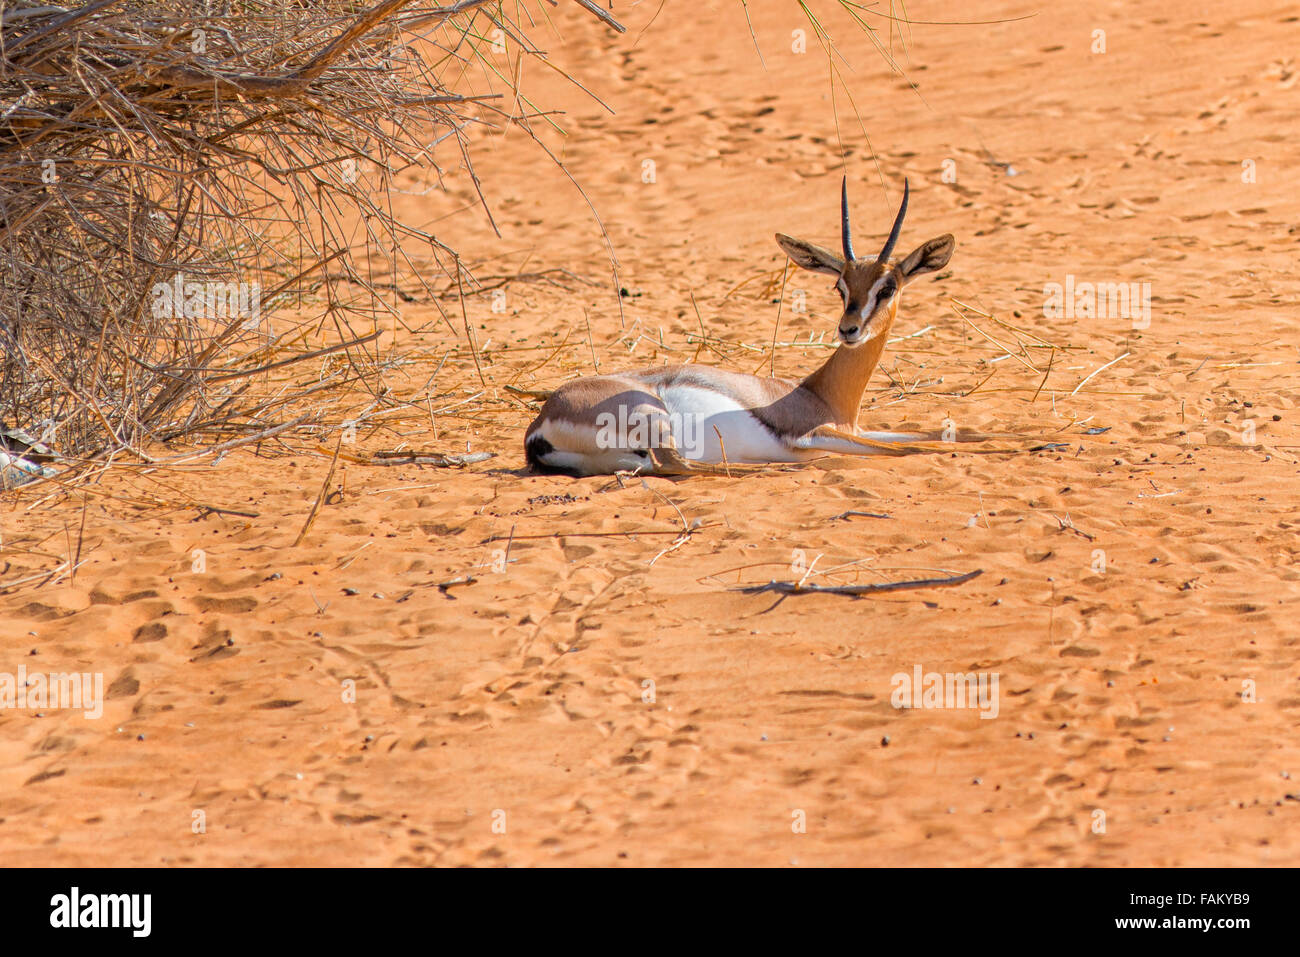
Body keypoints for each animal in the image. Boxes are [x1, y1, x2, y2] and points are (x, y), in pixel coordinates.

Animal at [525, 178, 958, 476]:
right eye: (841, 286)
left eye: (887, 287)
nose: (849, 329)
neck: (821, 395)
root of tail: (540, 423)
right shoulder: (813, 434)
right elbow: (916, 449)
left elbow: (939, 435)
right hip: (655, 419)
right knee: (678, 464)